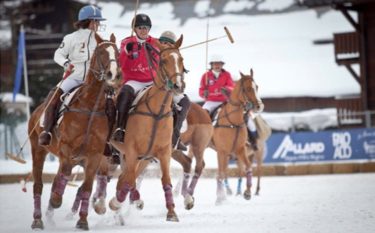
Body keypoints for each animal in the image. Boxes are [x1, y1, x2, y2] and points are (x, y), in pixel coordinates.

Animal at [28, 33, 122, 230]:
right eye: (101, 52)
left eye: (117, 53)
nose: (113, 74)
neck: (91, 106)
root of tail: (37, 111)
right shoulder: (66, 149)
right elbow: (63, 176)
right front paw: (56, 200)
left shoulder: (94, 155)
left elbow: (86, 188)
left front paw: (83, 221)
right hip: (38, 149)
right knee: (39, 184)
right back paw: (38, 219)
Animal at [108, 34, 186, 222]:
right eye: (163, 60)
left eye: (181, 59)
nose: (178, 86)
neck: (157, 112)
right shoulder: (131, 150)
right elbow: (128, 179)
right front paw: (116, 203)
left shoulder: (163, 152)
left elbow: (166, 180)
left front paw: (171, 212)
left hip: (142, 158)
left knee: (126, 177)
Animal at [213, 69, 266, 204]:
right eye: (247, 88)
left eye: (257, 87)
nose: (259, 106)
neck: (233, 122)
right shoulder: (222, 151)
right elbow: (221, 172)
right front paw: (219, 198)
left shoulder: (240, 149)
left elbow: (248, 168)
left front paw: (247, 192)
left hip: (256, 153)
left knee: (257, 169)